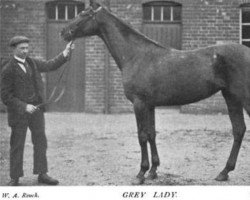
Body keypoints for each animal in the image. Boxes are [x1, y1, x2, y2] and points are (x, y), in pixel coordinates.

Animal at [61, 0, 250, 184]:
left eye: (83, 14)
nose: (63, 32)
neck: (136, 56)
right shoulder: (149, 105)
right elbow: (152, 134)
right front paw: (153, 171)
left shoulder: (139, 103)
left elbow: (142, 135)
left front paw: (141, 173)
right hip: (231, 96)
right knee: (239, 130)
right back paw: (224, 172)